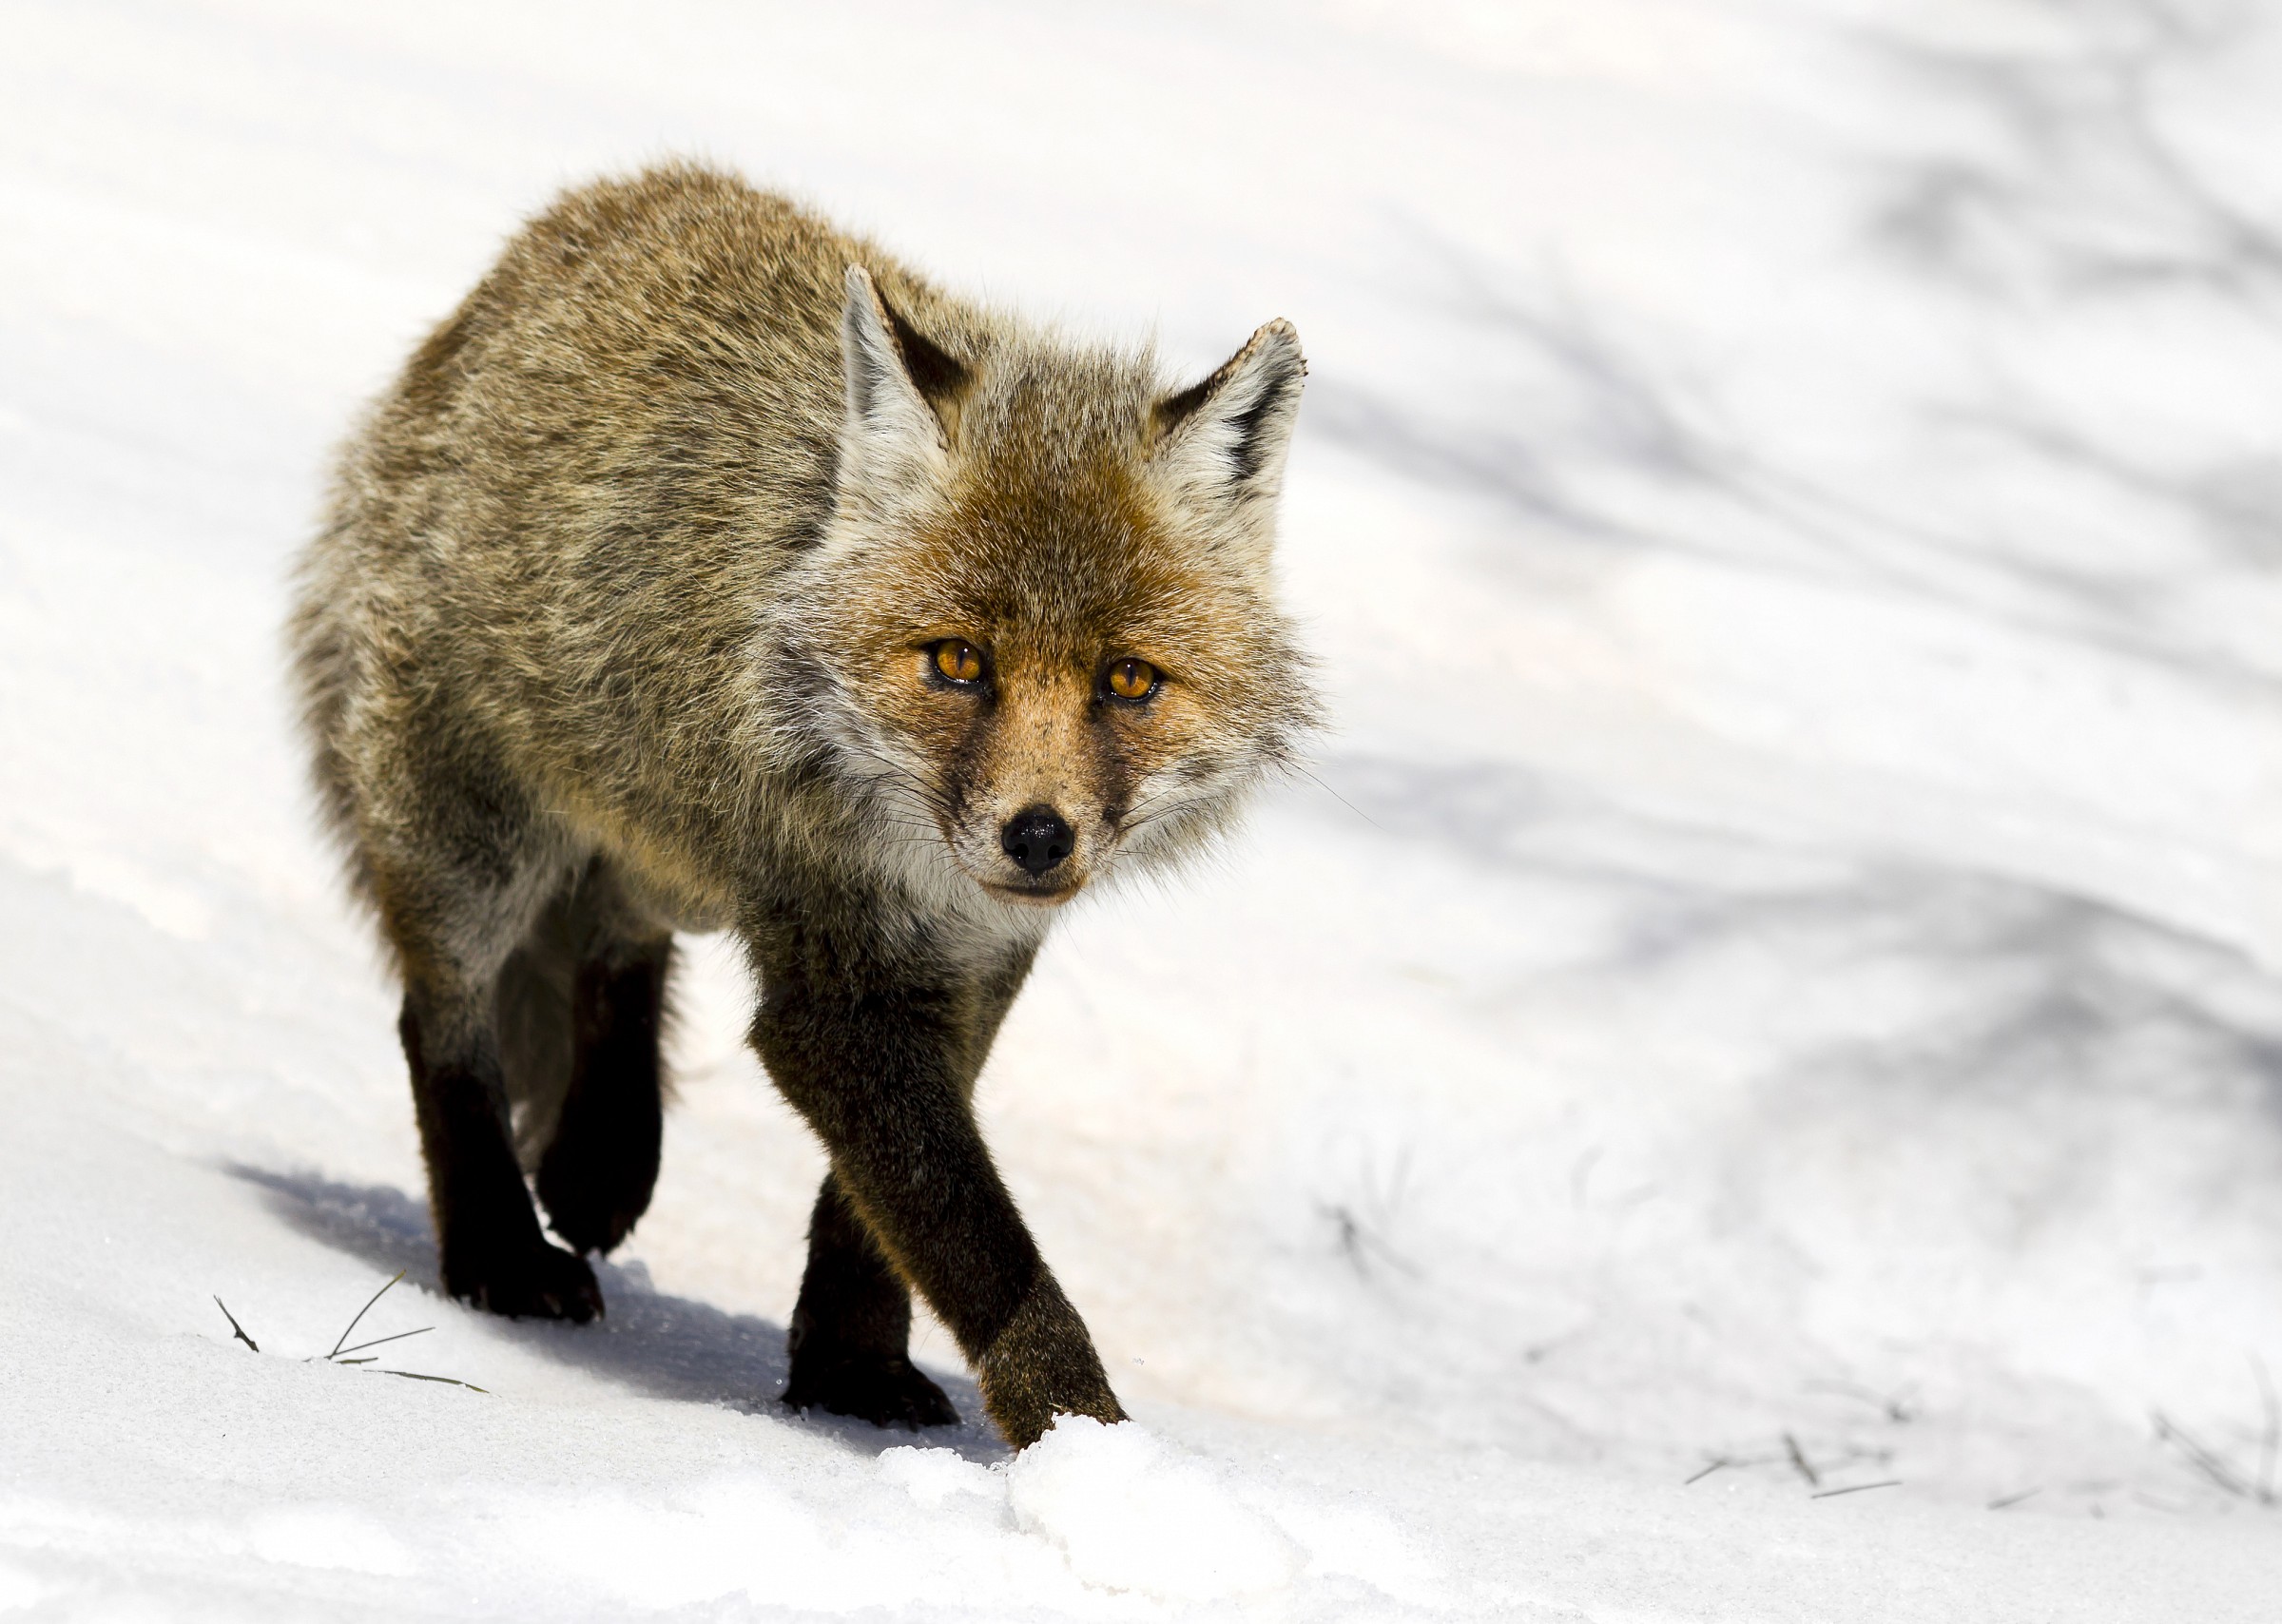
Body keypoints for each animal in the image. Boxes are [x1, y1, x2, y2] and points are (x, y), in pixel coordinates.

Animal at [288, 162, 1316, 1449]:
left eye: (1128, 680)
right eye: (958, 661)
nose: (1038, 837)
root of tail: (556, 237)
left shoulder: (973, 959)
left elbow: (874, 1216)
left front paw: (850, 1371)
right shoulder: (834, 976)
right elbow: (974, 1238)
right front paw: (1086, 1445)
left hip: (659, 829)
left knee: (618, 935)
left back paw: (599, 1158)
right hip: (481, 837)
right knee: (441, 1021)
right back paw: (499, 1251)